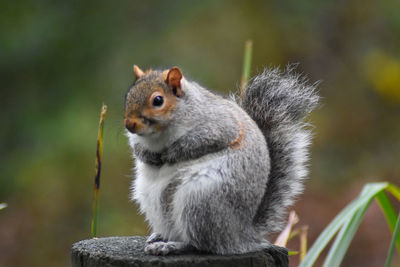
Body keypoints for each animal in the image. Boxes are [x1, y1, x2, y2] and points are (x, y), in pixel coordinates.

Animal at [124, 64, 318, 255]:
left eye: (158, 100)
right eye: (128, 95)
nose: (129, 124)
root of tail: (241, 234)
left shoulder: (220, 126)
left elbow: (200, 142)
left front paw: (171, 153)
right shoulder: (137, 138)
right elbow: (136, 145)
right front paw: (147, 155)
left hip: (200, 201)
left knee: (202, 244)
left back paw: (171, 246)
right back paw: (160, 236)